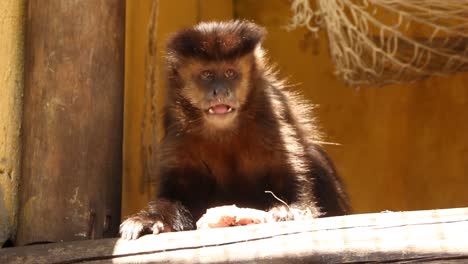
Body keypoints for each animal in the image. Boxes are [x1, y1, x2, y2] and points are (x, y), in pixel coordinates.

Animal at [119, 20, 350, 239]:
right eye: (207, 74)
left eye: (230, 73)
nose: (221, 90)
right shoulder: (177, 126)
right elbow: (177, 193)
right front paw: (150, 220)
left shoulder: (271, 112)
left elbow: (291, 178)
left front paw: (289, 210)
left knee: (314, 154)